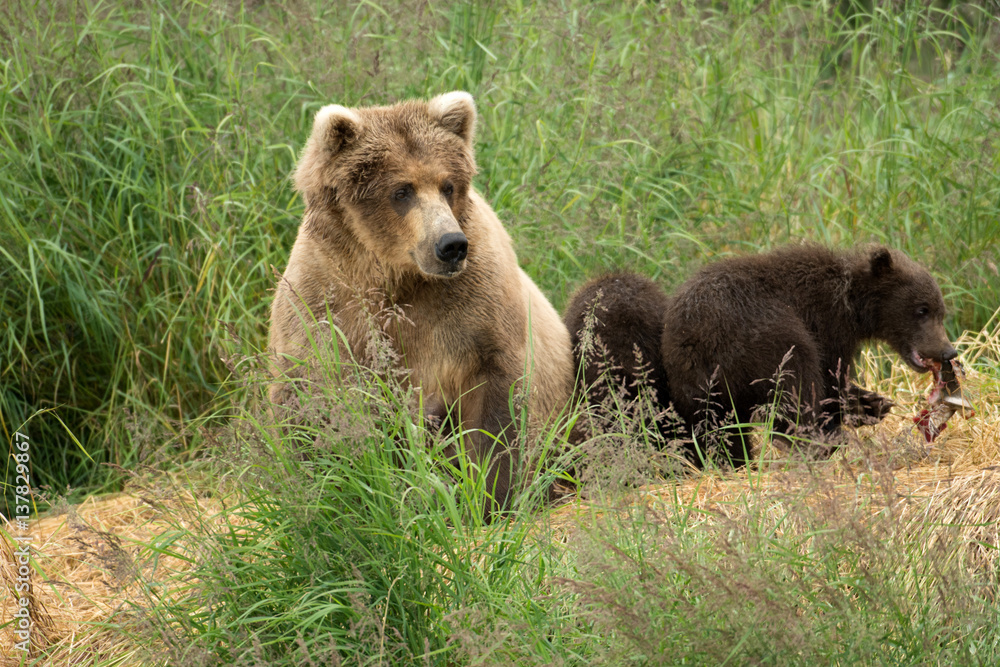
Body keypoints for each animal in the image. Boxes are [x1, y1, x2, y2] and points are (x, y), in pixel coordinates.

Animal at [267, 92, 574, 515]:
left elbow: (496, 403)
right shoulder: (324, 301)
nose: (451, 245)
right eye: (402, 190)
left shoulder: (474, 306)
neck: (395, 278)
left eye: (447, 185)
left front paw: (490, 496)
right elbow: (307, 394)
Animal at [659, 243, 958, 466]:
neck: (853, 305)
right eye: (922, 310)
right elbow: (828, 378)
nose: (948, 351)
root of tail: (702, 336)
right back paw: (821, 441)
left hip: (695, 381)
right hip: (766, 335)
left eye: (940, 311)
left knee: (717, 428)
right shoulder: (826, 324)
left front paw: (873, 402)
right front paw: (859, 407)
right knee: (797, 378)